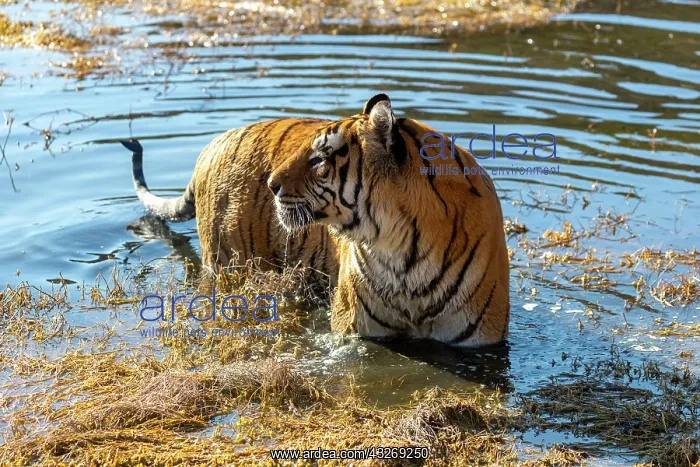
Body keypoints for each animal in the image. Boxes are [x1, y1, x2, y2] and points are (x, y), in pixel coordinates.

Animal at [121, 93, 510, 347]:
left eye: (319, 158)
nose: (271, 184)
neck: (402, 251)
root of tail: (214, 144)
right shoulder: (356, 332)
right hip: (229, 266)